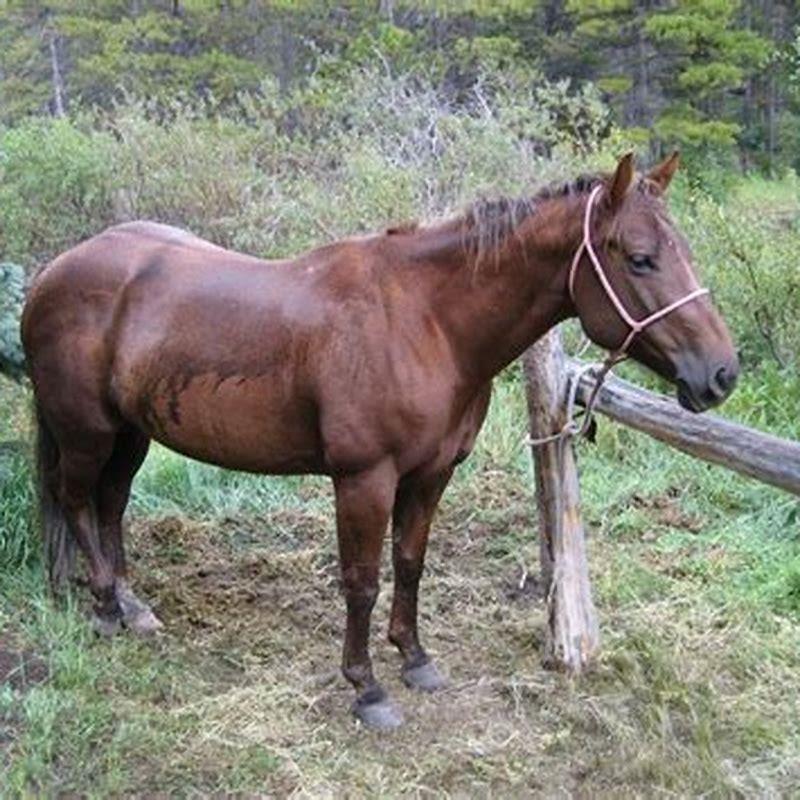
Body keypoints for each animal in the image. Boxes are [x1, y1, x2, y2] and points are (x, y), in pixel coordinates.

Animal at [21, 153, 738, 729]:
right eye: (640, 258)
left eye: (684, 251)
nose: (721, 374)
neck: (427, 322)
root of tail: (53, 272)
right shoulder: (364, 478)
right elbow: (361, 581)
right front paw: (366, 689)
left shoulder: (432, 473)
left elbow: (410, 563)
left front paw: (414, 658)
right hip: (86, 432)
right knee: (78, 501)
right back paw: (105, 606)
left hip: (130, 434)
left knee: (110, 505)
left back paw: (130, 604)